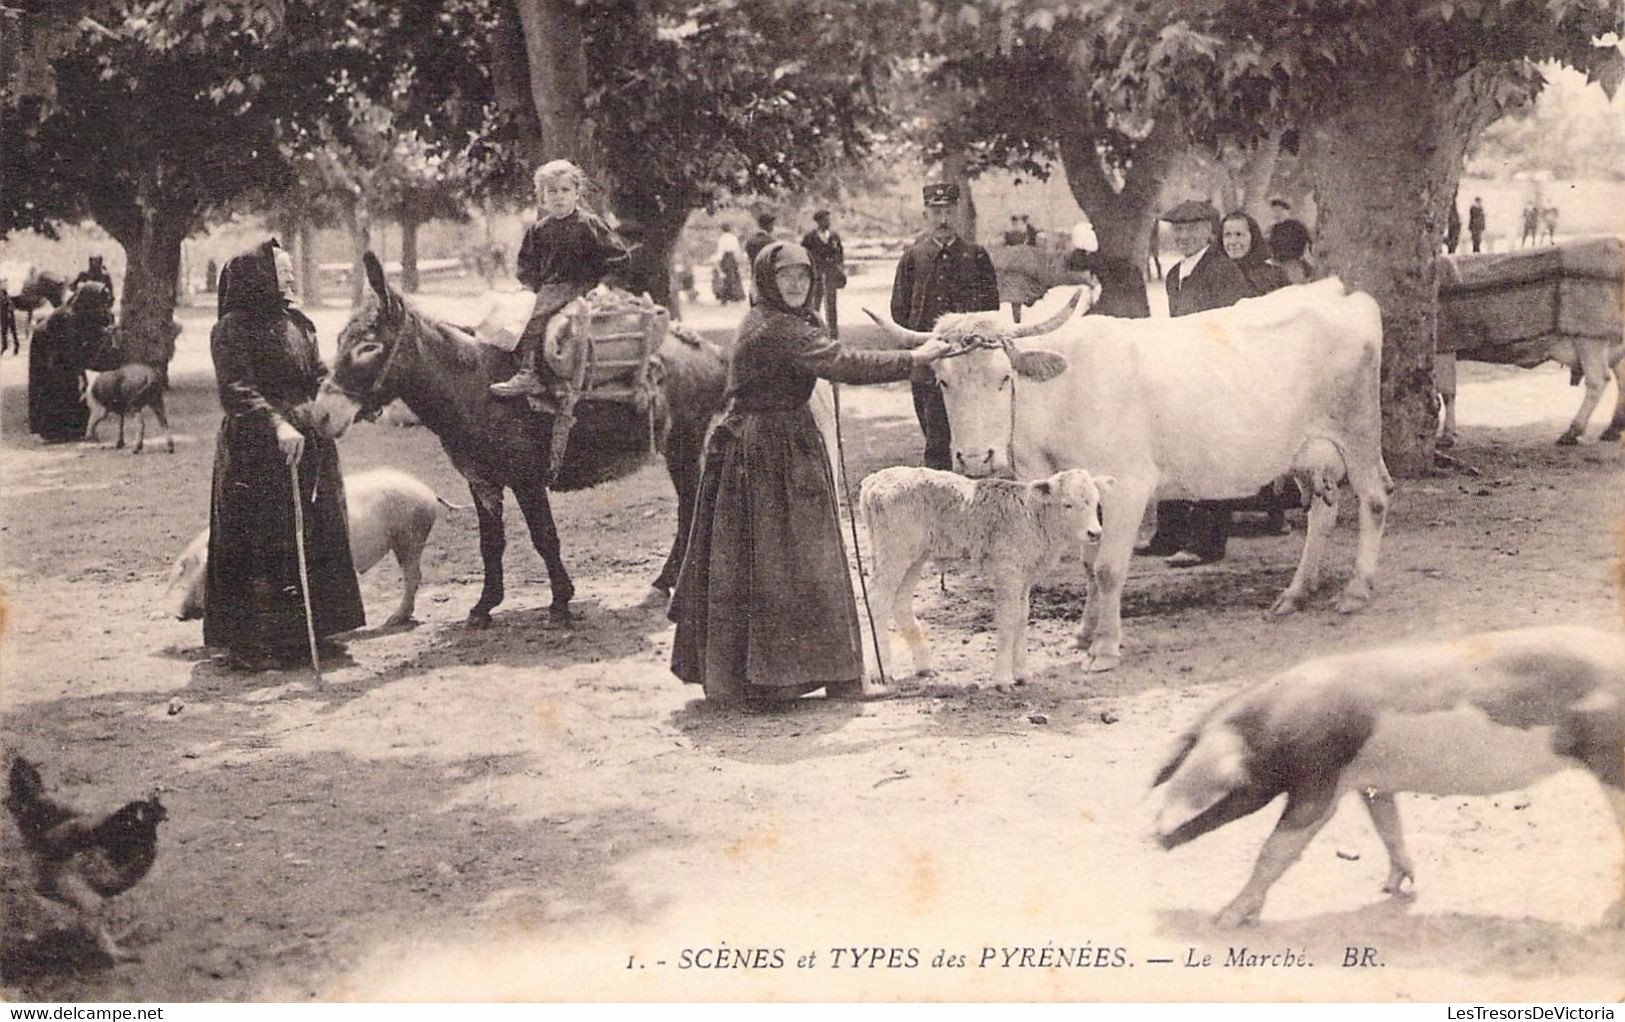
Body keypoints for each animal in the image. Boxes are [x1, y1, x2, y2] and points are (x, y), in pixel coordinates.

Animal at [169, 467, 458, 627]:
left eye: (203, 573)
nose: (180, 614)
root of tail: (428, 491)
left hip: (409, 536)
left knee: (413, 576)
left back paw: (393, 620)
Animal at [1157, 627, 1625, 929]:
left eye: (1222, 794)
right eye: (1179, 762)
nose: (1152, 836)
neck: (1270, 728)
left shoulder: (1319, 782)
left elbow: (1275, 851)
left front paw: (1225, 920)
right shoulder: (1372, 783)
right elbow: (1389, 827)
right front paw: (1395, 887)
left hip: (1613, 768)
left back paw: (1608, 921)